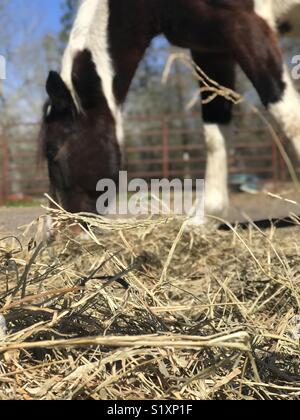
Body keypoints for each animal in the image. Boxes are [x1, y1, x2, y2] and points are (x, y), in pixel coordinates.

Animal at [39, 0, 300, 223]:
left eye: (52, 152)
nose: (56, 230)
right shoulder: (211, 48)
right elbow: (214, 133)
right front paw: (203, 219)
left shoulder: (245, 23)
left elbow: (288, 115)